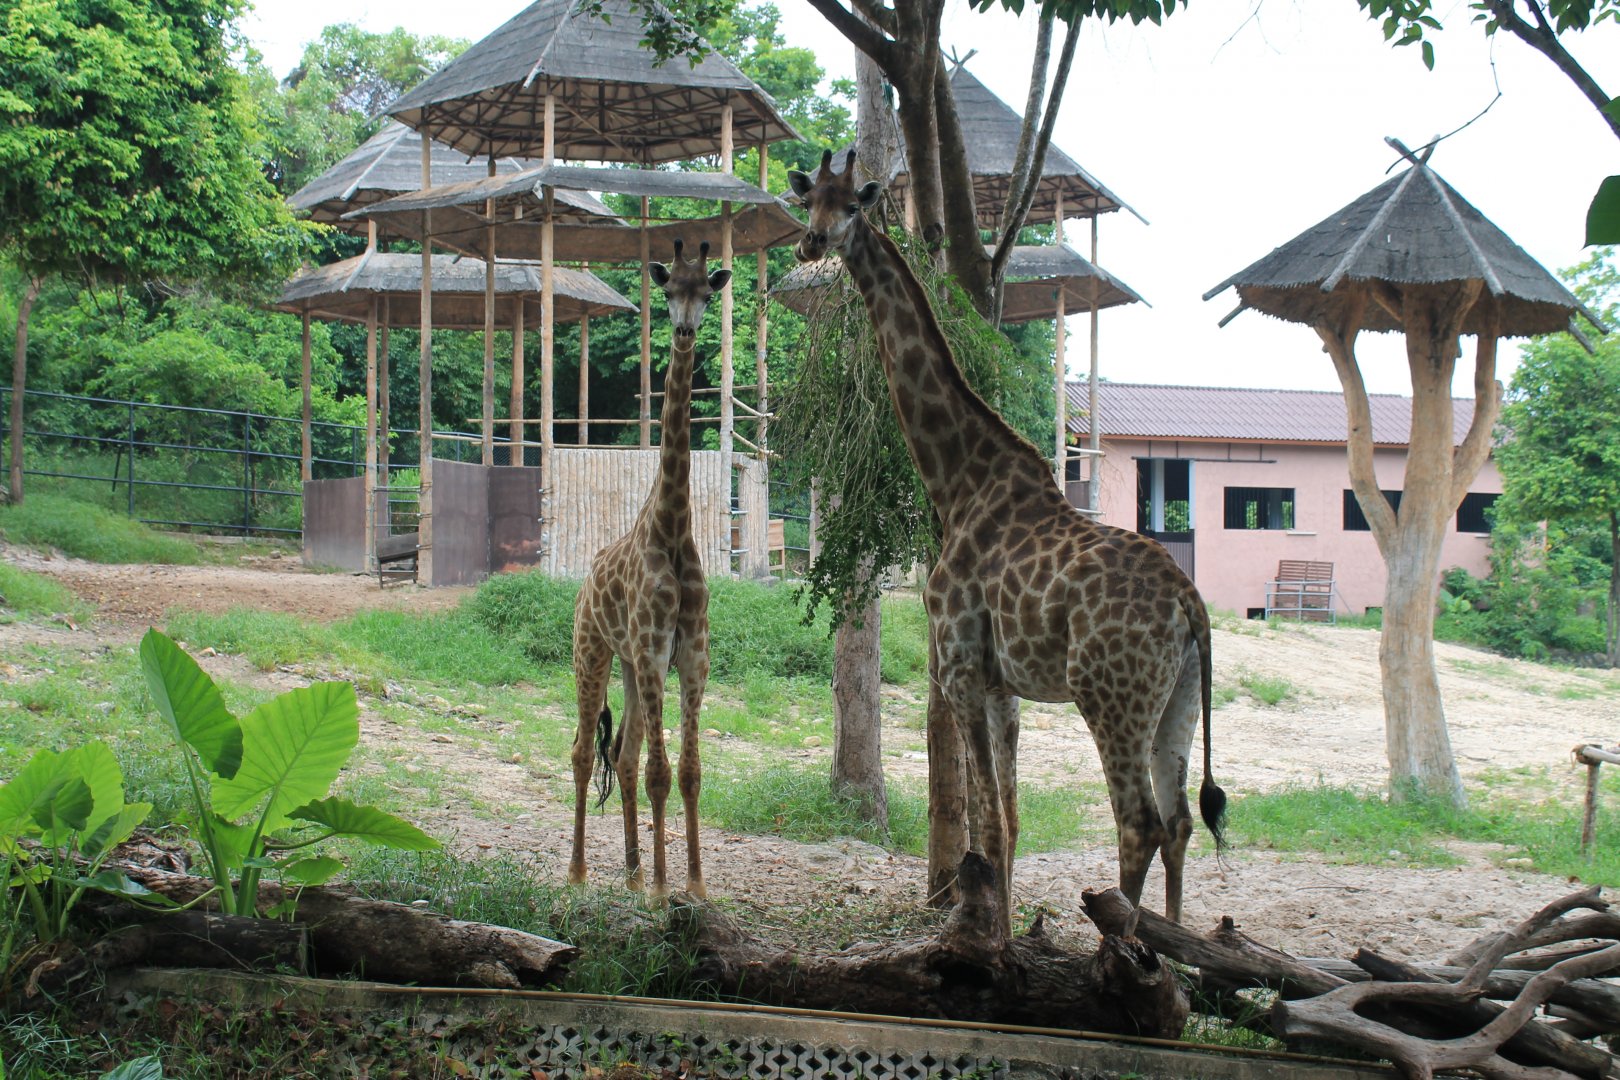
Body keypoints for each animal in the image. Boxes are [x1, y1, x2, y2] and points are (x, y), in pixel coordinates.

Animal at [788, 150, 1225, 931]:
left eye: (852, 205)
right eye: (811, 200)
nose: (811, 243)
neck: (956, 479)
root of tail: (1190, 605)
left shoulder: (959, 668)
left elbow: (987, 821)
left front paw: (990, 942)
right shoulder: (1005, 686)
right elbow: (1010, 822)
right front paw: (1008, 936)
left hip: (1109, 694)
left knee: (1138, 822)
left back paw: (1122, 949)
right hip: (1176, 698)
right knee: (1178, 821)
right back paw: (1175, 950)